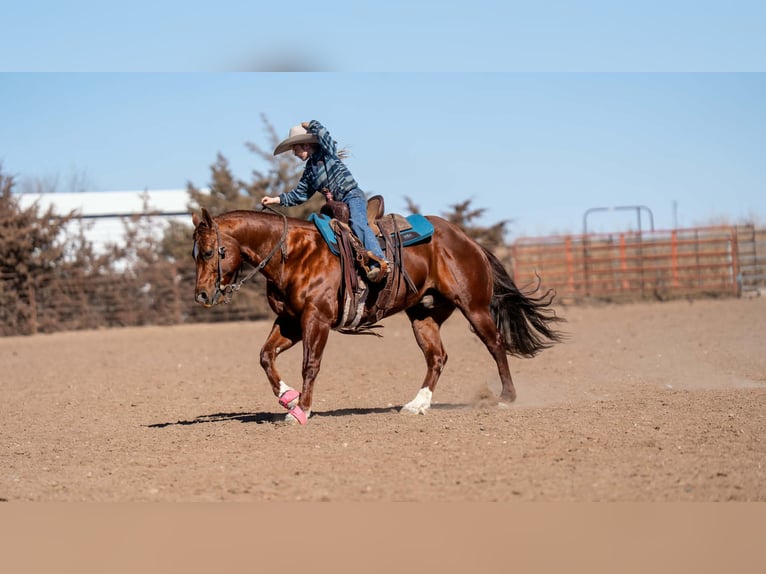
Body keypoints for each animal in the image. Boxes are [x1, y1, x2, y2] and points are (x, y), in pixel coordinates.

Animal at [191, 204, 563, 424]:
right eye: (195, 253)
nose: (202, 295)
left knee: (495, 344)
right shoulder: (291, 322)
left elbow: (310, 364)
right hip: (424, 315)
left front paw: (302, 410)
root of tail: (468, 241)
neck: (294, 254)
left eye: (210, 251)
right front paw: (288, 397)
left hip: (473, 306)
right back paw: (417, 404)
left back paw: (506, 398)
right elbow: (265, 356)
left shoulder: (316, 319)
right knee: (437, 357)